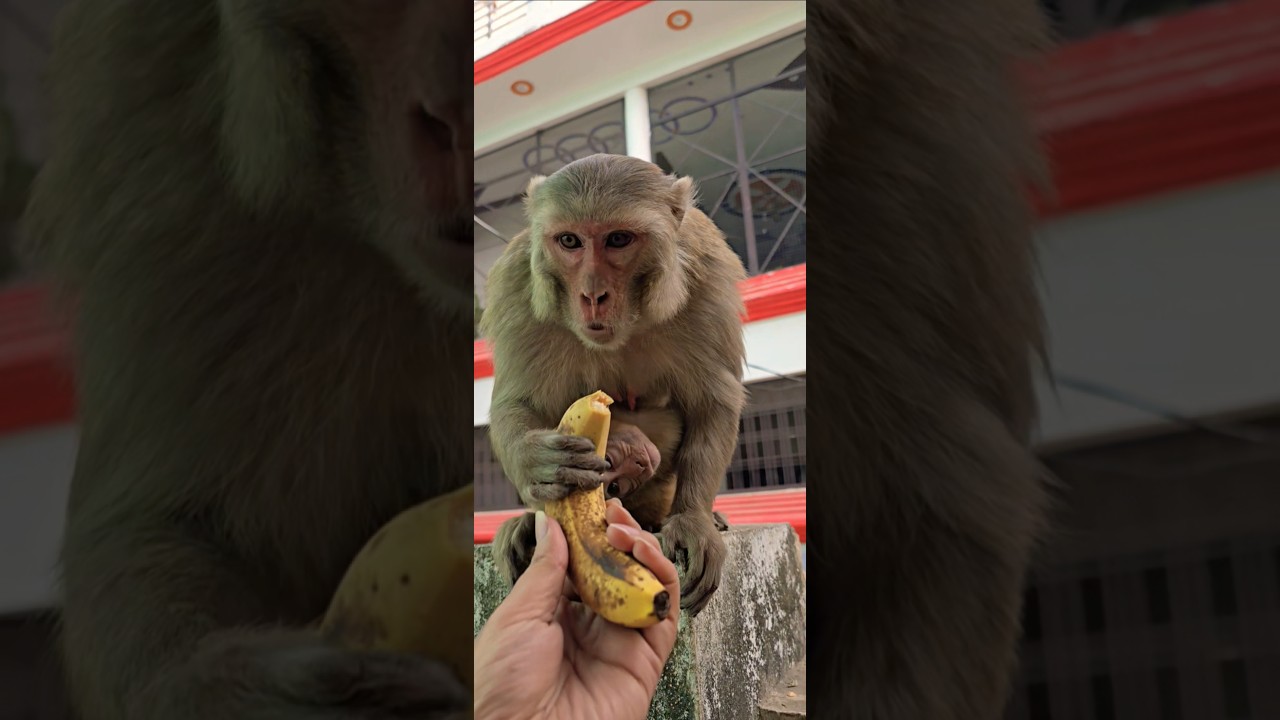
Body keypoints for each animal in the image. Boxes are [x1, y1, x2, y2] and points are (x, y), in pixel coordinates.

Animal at [479, 153, 747, 615]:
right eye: (570, 241)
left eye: (618, 239)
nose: (592, 295)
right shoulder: (516, 287)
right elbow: (517, 403)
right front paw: (537, 460)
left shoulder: (707, 274)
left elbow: (713, 400)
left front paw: (694, 519)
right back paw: (526, 524)